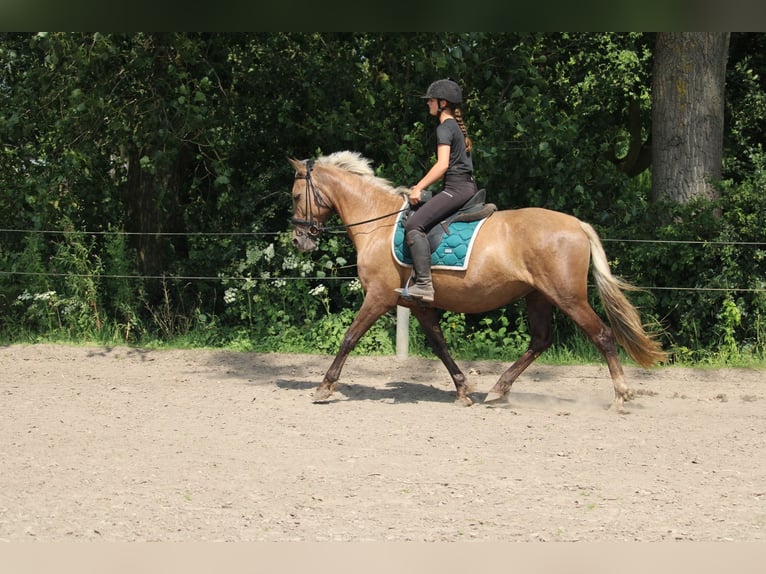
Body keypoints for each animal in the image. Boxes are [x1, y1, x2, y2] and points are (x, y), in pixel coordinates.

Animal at [288, 151, 664, 414]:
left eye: (294, 196)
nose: (298, 241)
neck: (376, 224)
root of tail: (576, 224)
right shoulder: (418, 304)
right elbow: (440, 345)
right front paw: (463, 390)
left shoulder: (379, 297)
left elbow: (349, 338)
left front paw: (324, 387)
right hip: (538, 296)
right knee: (541, 341)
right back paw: (498, 390)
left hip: (568, 297)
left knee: (602, 335)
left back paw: (620, 395)